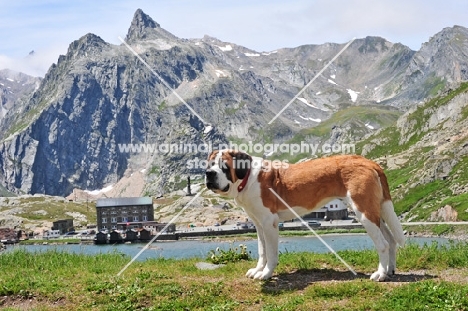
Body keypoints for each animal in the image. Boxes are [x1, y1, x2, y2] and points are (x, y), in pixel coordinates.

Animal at [206, 151, 406, 282]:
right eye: (209, 165)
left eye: (224, 166)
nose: (209, 174)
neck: (247, 178)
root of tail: (369, 162)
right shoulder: (259, 224)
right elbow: (262, 251)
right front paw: (258, 270)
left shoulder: (269, 223)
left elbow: (270, 253)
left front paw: (266, 274)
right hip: (375, 213)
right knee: (391, 240)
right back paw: (390, 270)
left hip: (364, 212)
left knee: (383, 244)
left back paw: (380, 274)